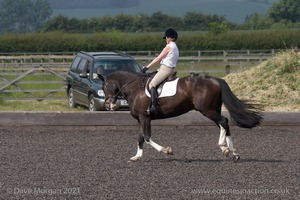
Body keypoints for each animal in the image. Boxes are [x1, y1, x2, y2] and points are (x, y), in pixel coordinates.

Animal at [97, 70, 262, 162]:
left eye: (105, 86)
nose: (109, 105)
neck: (134, 89)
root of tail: (216, 79)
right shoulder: (143, 119)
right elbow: (143, 137)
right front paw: (138, 156)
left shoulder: (144, 117)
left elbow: (145, 137)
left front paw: (165, 151)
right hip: (213, 109)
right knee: (224, 124)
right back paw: (233, 153)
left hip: (207, 110)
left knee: (224, 121)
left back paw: (226, 149)